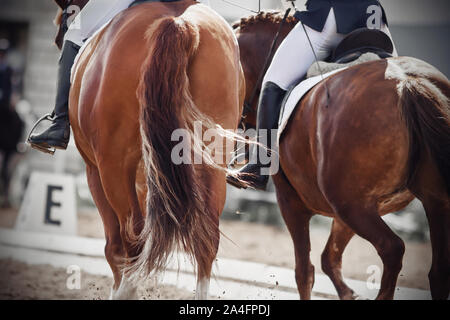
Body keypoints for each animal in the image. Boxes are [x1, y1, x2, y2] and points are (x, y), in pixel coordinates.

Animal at [53, 0, 246, 300]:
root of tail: (179, 23)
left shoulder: (95, 170)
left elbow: (114, 245)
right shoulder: (150, 178)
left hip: (113, 167)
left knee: (131, 236)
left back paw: (125, 290)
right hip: (211, 160)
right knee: (206, 238)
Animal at [234, 10, 448, 300]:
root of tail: (407, 82)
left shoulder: (291, 202)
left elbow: (304, 272)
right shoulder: (347, 210)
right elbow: (330, 259)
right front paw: (349, 293)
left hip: (354, 206)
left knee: (392, 249)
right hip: (429, 201)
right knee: (437, 272)